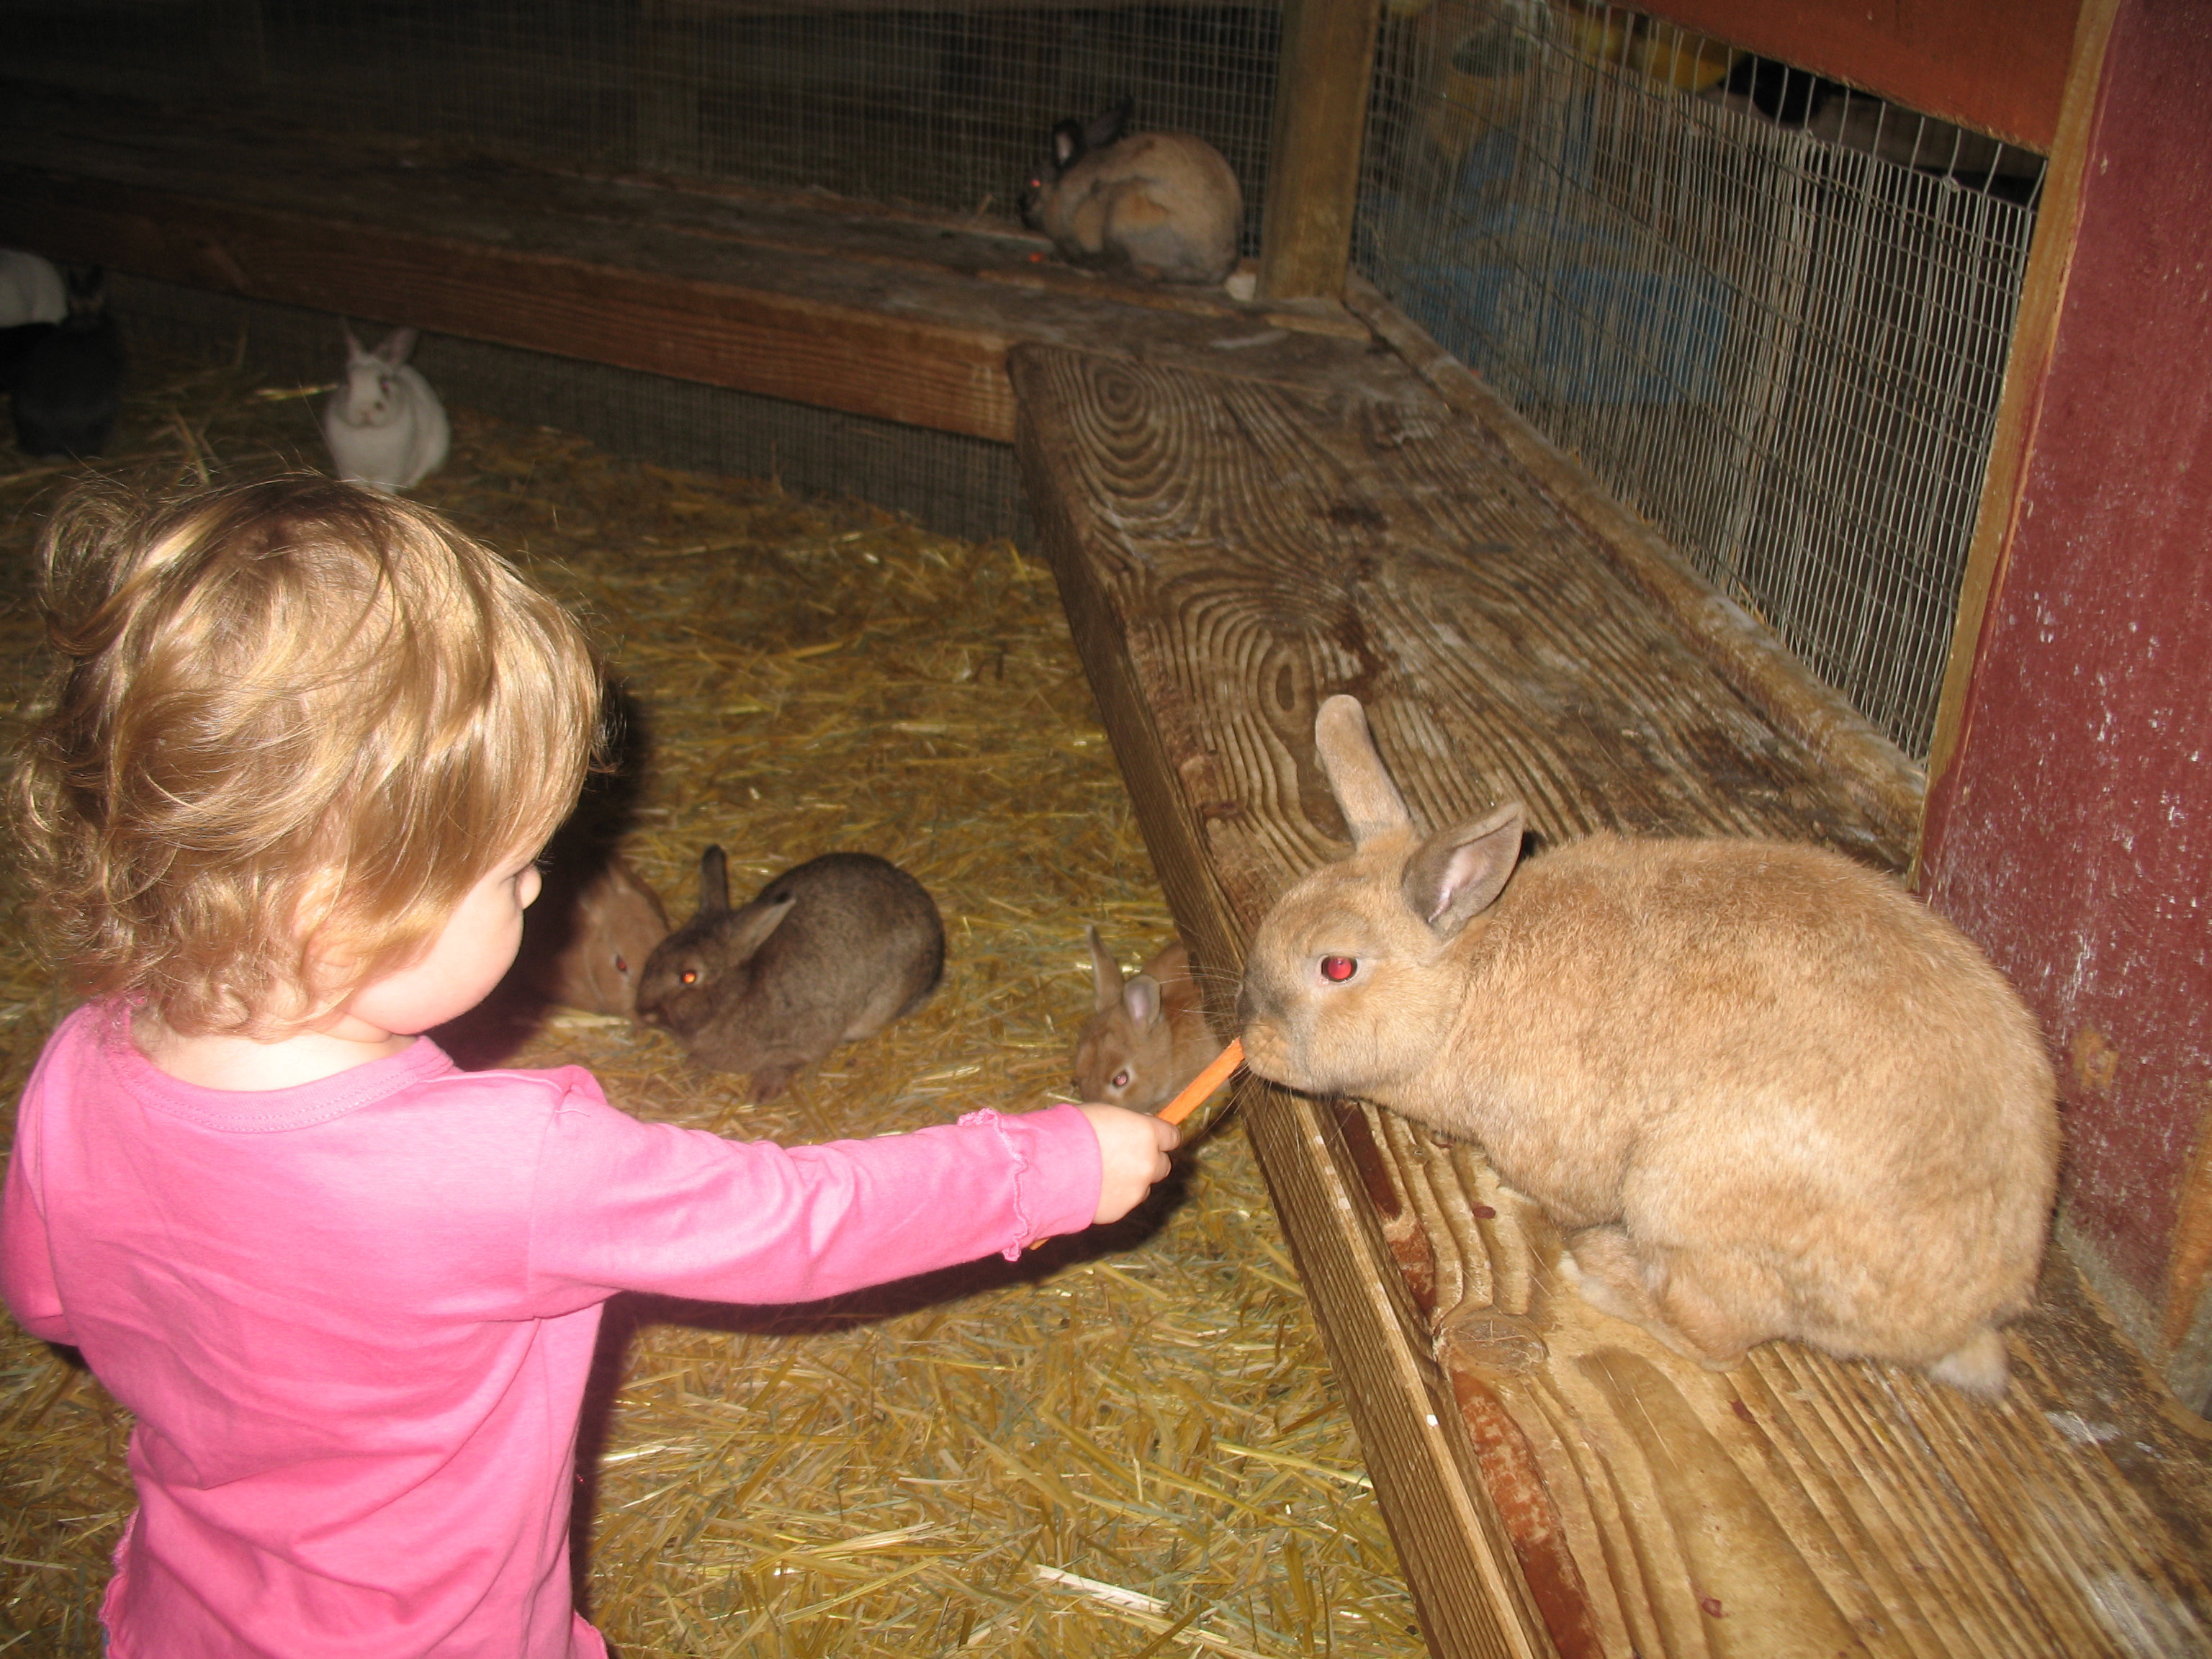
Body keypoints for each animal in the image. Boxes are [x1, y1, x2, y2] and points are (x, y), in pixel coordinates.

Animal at [321, 323, 450, 491]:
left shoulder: (391, 472)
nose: (365, 410)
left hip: (436, 448)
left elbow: (384, 486)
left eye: (384, 384)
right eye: (348, 383)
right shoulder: (349, 469)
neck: (368, 431)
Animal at [635, 847, 945, 1100]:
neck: (737, 995)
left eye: (688, 976)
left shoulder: (806, 1038)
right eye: (658, 951)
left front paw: (763, 1090)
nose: (642, 1012)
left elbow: (786, 1063)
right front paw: (690, 1066)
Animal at [1237, 694, 2059, 1398]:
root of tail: (1966, 1314)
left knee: (1715, 1338)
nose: (1248, 1034)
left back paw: (1602, 1271)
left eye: (1337, 967)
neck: (1467, 984)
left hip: (1686, 1194)